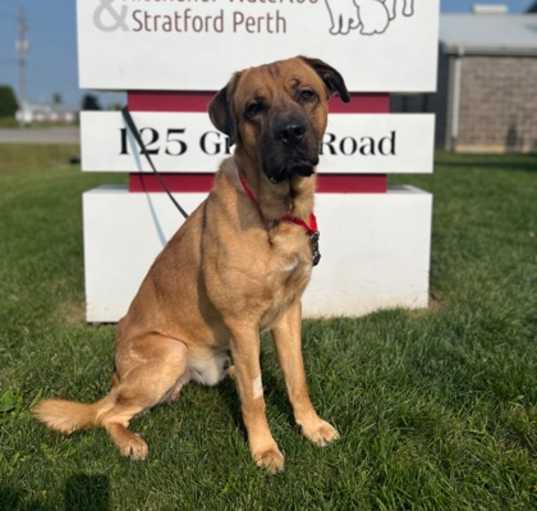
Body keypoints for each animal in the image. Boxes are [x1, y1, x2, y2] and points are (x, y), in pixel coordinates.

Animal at [34, 55, 352, 472]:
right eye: (254, 108)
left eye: (307, 94)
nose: (291, 133)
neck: (276, 214)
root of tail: (117, 377)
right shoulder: (242, 324)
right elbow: (255, 395)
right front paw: (264, 449)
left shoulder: (288, 314)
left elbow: (297, 379)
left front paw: (311, 426)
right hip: (171, 351)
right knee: (107, 415)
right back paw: (130, 443)